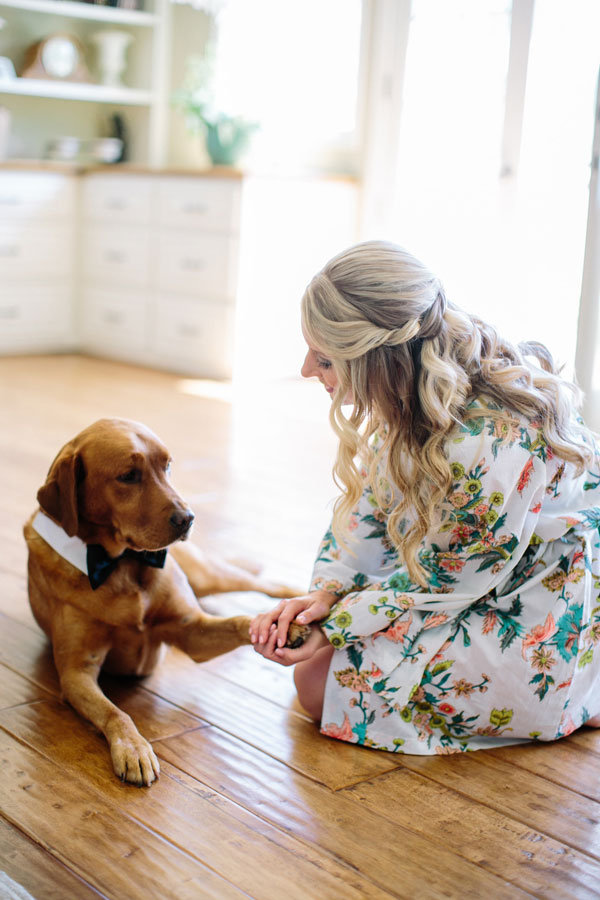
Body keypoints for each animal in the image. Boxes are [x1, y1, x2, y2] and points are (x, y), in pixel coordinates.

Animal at [23, 418, 310, 784]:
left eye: (168, 465)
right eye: (129, 475)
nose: (188, 518)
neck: (123, 563)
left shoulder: (191, 630)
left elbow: (239, 621)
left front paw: (282, 628)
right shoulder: (76, 672)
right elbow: (115, 713)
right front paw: (133, 748)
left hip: (207, 576)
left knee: (259, 581)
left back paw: (297, 592)